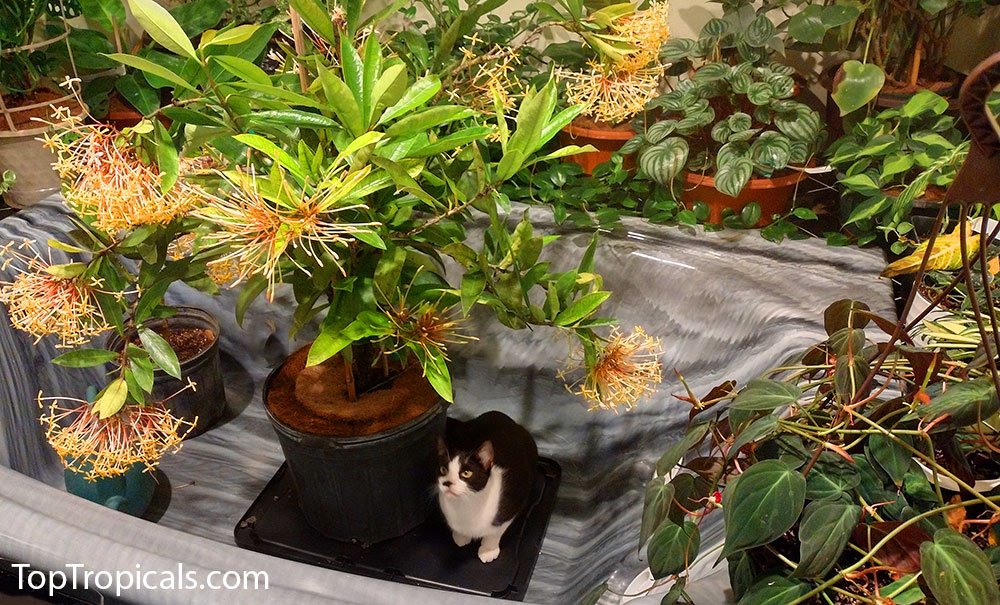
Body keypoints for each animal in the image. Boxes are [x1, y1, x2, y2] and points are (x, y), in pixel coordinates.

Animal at [434, 410, 536, 560]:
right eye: (443, 470)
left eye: (466, 473)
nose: (447, 483)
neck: (467, 503)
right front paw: (461, 536)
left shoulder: (509, 509)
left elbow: (495, 532)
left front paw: (488, 550)